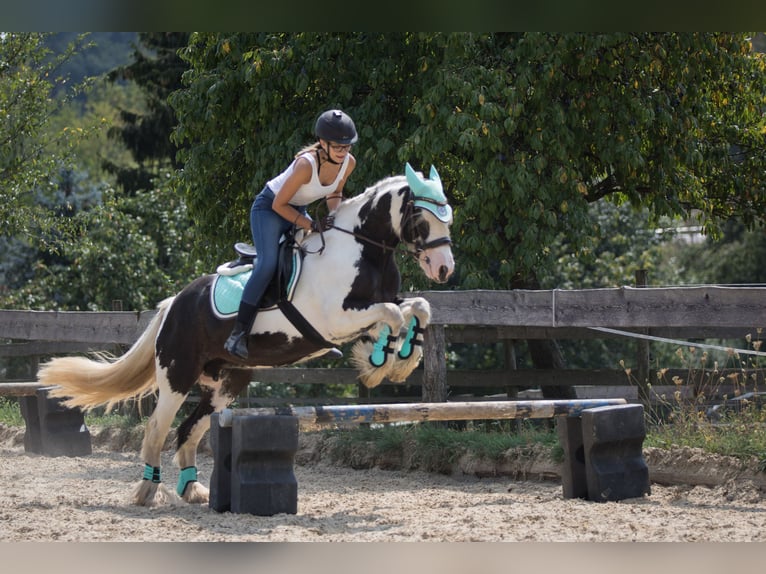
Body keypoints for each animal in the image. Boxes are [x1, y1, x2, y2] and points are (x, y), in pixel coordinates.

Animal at [39, 163, 456, 508]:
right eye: (421, 217)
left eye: (447, 216)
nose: (444, 269)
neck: (363, 249)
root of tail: (174, 303)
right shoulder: (335, 318)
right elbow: (393, 314)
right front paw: (381, 360)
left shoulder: (376, 304)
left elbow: (417, 307)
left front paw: (396, 360)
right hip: (177, 375)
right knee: (158, 429)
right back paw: (146, 491)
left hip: (227, 383)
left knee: (190, 430)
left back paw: (192, 490)